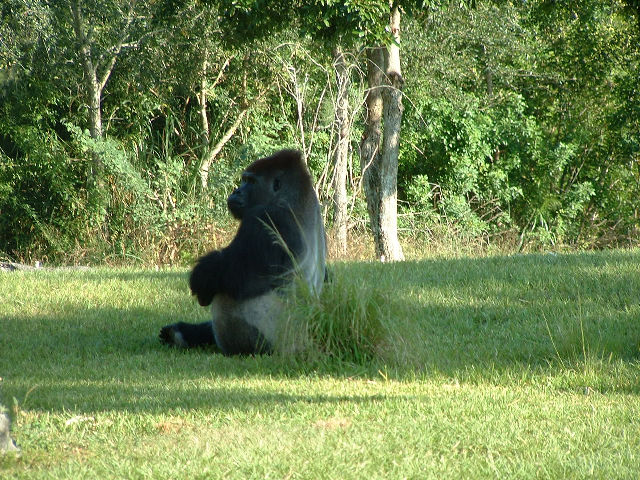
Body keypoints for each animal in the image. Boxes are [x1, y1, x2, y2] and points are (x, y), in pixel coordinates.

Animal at [159, 149, 326, 355]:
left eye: (251, 182)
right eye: (244, 180)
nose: (236, 191)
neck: (293, 197)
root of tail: (306, 344)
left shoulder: (267, 218)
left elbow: (237, 278)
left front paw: (202, 275)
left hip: (266, 345)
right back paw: (182, 334)